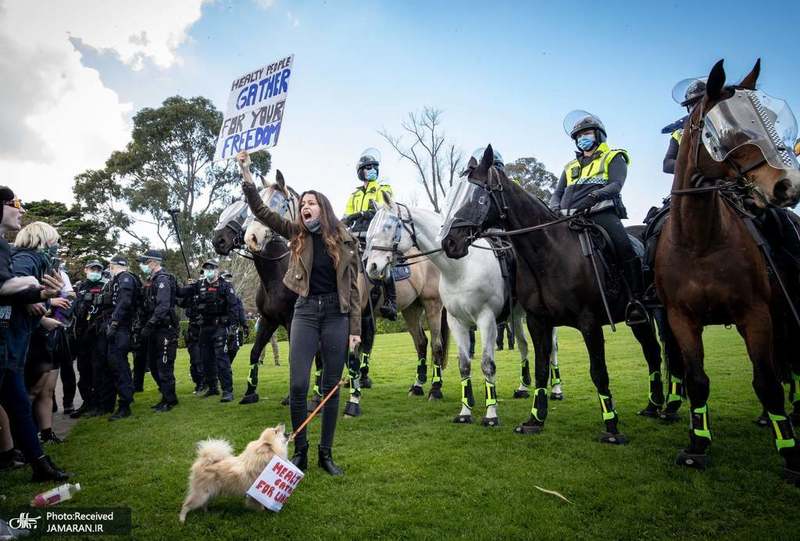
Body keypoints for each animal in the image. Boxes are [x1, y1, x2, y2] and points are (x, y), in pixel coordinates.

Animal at [364, 194, 564, 426]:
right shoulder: (457, 322)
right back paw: (523, 387)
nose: (371, 267)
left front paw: (491, 414)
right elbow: (464, 365)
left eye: (388, 226)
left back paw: (557, 390)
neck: (462, 267)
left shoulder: (486, 320)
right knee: (523, 346)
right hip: (516, 316)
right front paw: (465, 412)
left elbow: (487, 365)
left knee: (553, 349)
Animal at [652, 58, 800, 476]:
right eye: (726, 133)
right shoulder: (680, 317)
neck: (700, 241)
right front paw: (697, 445)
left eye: (771, 118)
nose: (788, 184)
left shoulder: (755, 312)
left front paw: (790, 453)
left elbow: (767, 382)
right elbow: (697, 379)